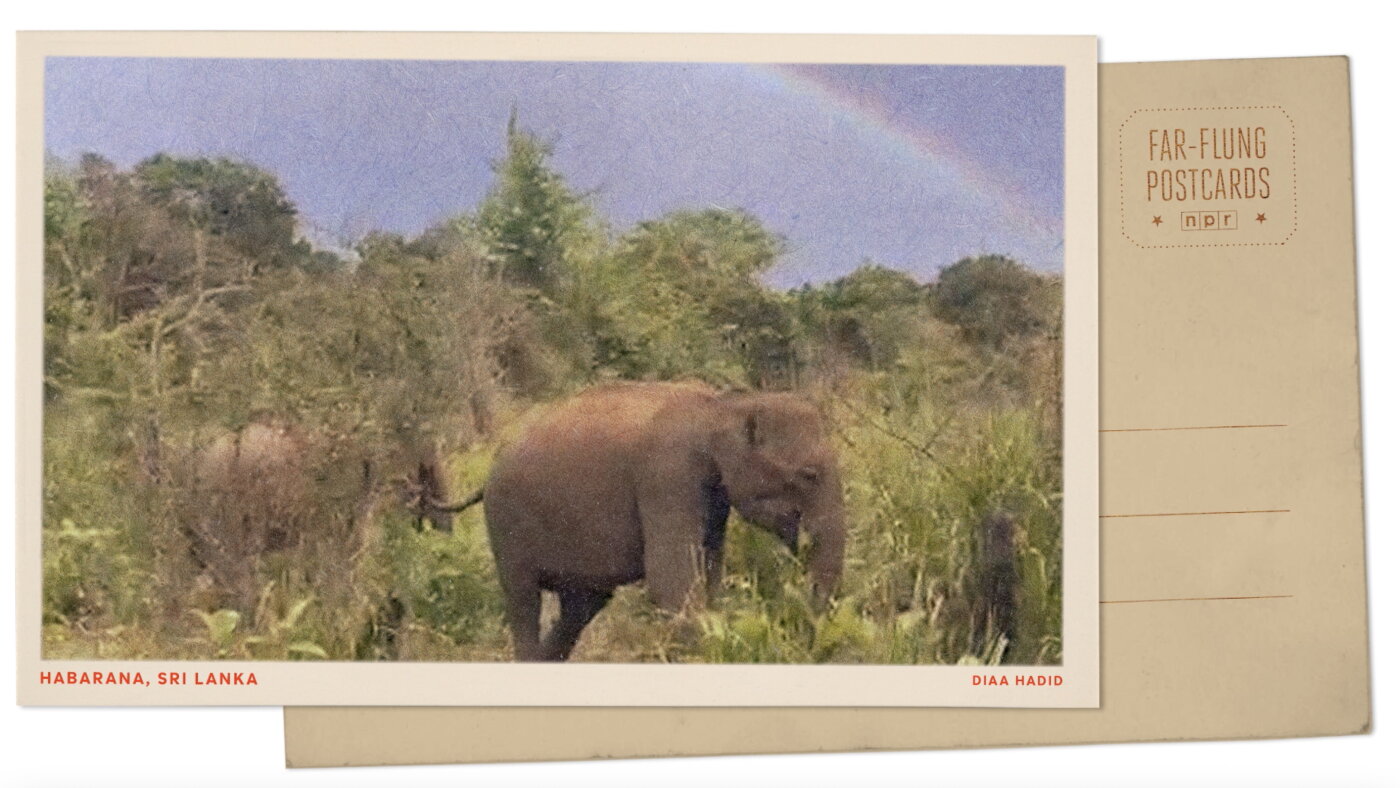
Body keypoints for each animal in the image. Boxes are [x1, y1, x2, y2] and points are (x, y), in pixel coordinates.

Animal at [470, 381, 846, 662]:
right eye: (809, 474)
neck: (724, 405)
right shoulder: (667, 476)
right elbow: (671, 580)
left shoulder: (713, 496)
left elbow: (709, 570)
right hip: (505, 523)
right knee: (524, 599)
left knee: (582, 605)